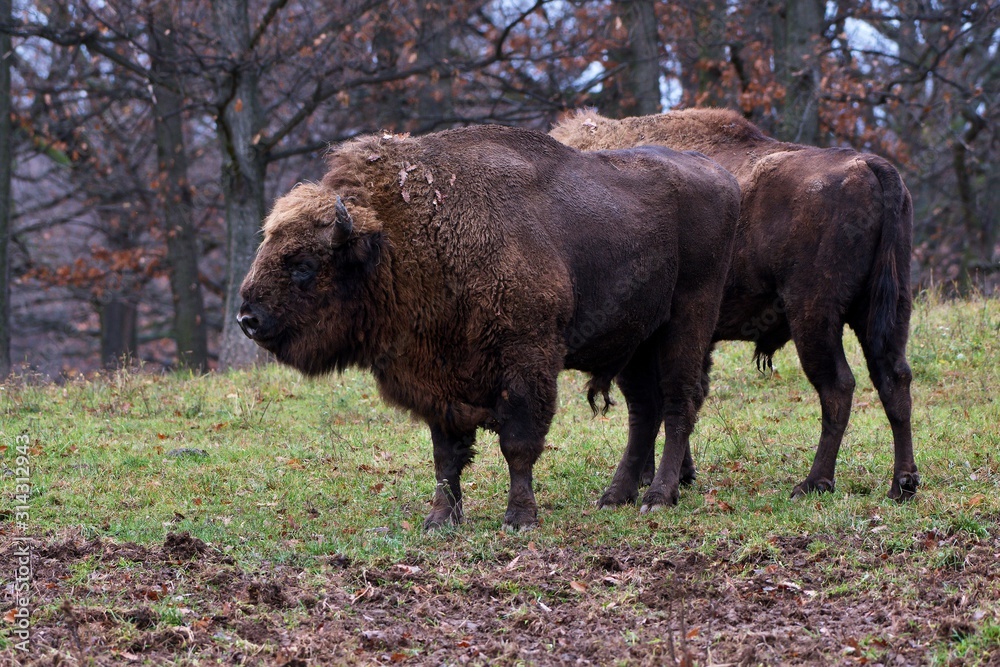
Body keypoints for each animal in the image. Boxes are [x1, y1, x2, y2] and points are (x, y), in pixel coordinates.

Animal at [238, 124, 740, 528]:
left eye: (303, 264)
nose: (248, 318)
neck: (404, 239)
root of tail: (720, 175)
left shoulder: (525, 362)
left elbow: (518, 445)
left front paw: (520, 517)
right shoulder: (439, 380)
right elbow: (445, 457)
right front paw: (440, 520)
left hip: (686, 324)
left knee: (678, 404)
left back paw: (658, 497)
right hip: (634, 339)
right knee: (643, 411)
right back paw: (614, 497)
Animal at [551, 109, 919, 503]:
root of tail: (869, 165)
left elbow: (660, 399)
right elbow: (688, 393)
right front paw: (680, 474)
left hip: (814, 313)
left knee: (837, 385)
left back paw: (812, 483)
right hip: (887, 308)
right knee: (894, 378)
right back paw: (903, 483)